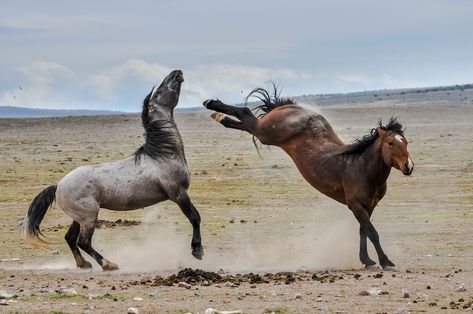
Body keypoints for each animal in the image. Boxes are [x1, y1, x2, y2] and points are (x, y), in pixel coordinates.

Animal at [21, 70, 203, 272]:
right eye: (159, 90)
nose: (176, 72)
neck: (162, 155)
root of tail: (58, 185)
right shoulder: (178, 194)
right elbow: (195, 217)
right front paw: (197, 251)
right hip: (89, 217)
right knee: (83, 241)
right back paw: (108, 264)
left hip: (79, 217)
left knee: (70, 238)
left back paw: (83, 264)